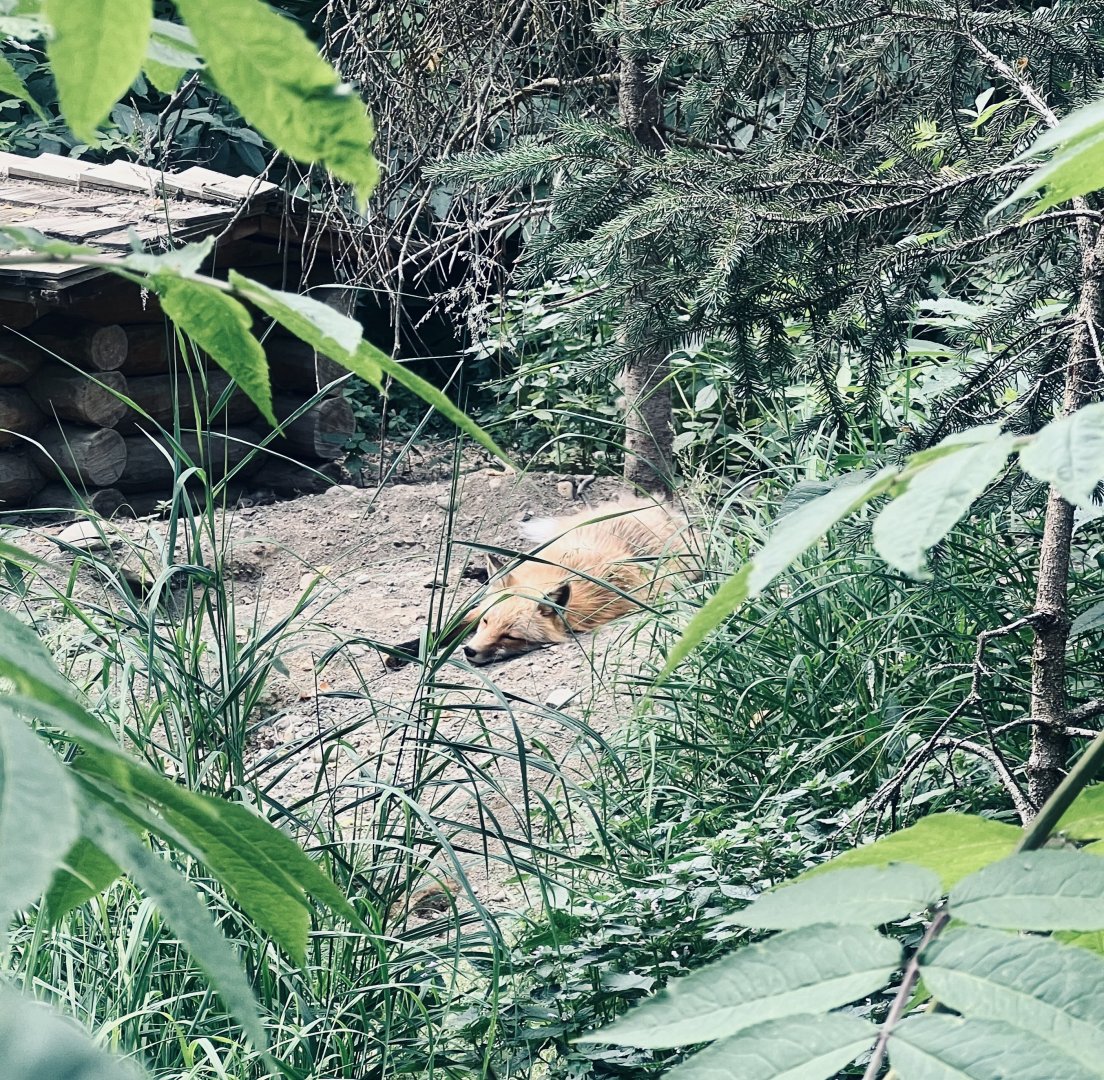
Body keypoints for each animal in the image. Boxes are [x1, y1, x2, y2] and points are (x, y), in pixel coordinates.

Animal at [385, 498, 700, 668]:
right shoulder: (479, 610)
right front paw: (404, 651)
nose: (469, 651)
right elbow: (443, 629)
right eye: (486, 622)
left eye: (510, 636)